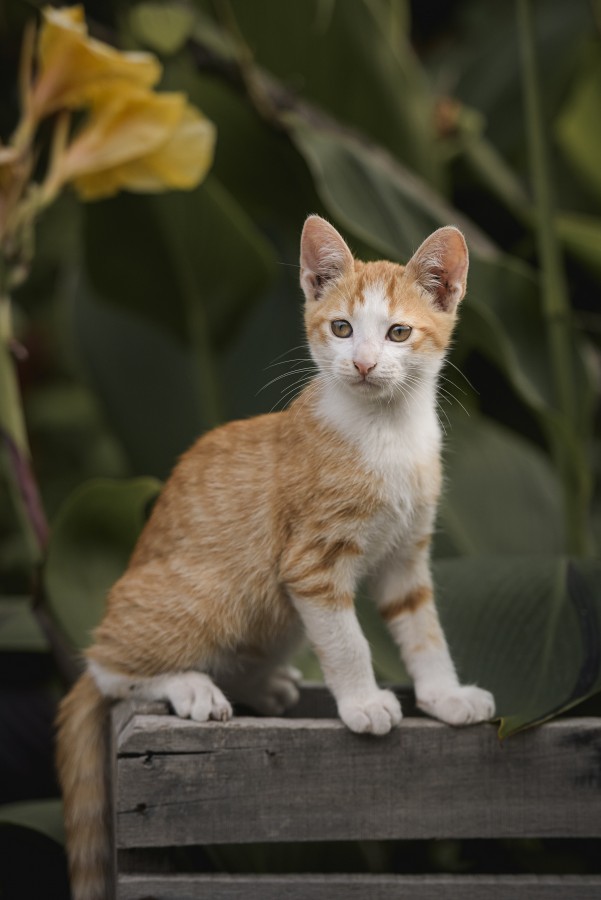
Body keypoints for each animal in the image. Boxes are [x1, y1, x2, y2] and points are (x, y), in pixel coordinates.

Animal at [58, 218, 494, 900]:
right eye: (341, 328)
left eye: (398, 332)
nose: (363, 363)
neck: (387, 434)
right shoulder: (310, 564)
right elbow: (348, 642)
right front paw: (364, 702)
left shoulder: (407, 556)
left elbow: (424, 631)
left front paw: (445, 696)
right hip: (210, 593)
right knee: (105, 667)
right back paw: (189, 686)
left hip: (274, 613)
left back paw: (263, 682)